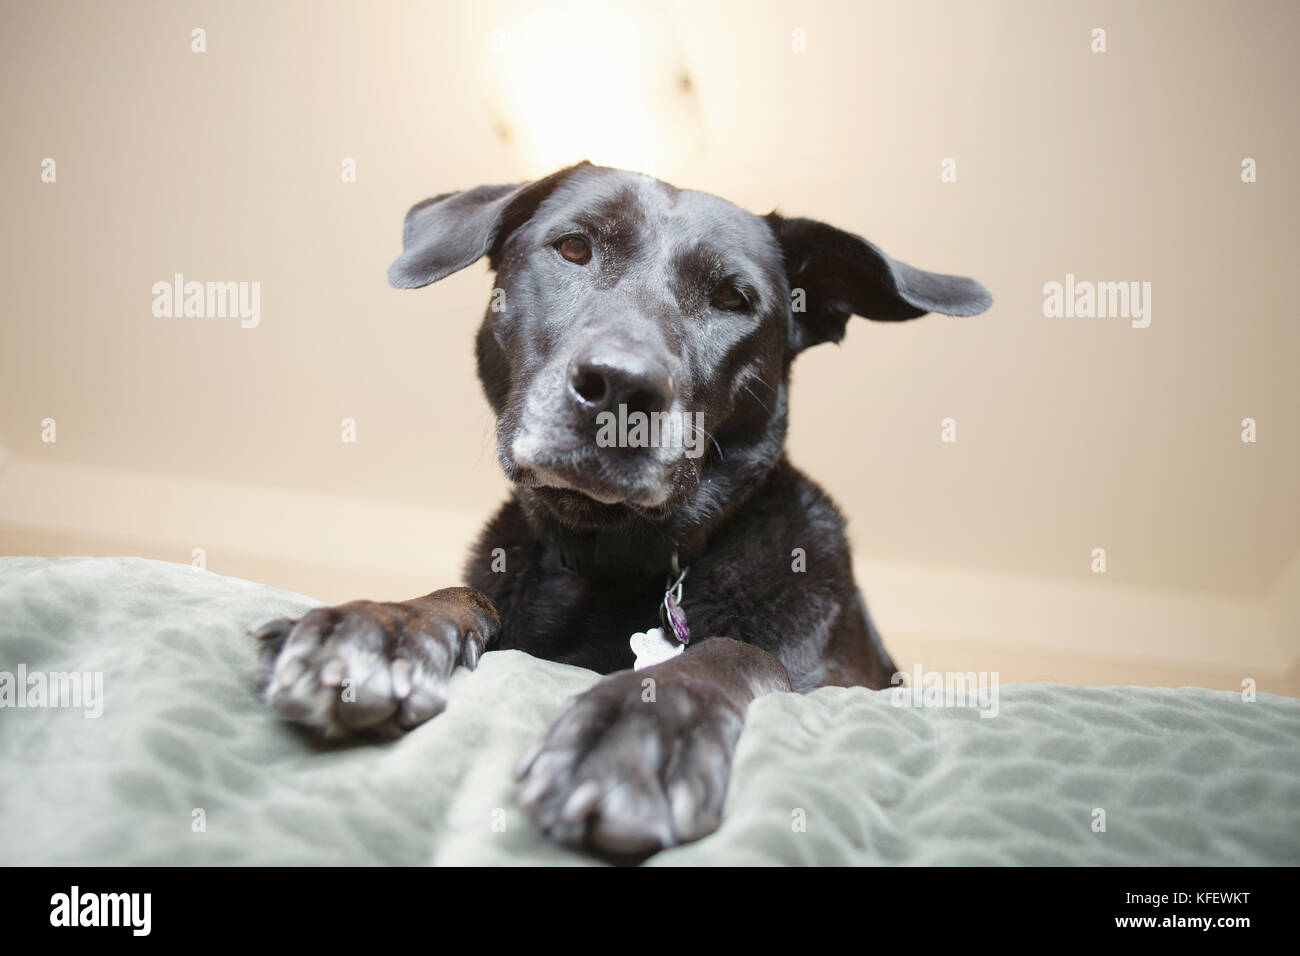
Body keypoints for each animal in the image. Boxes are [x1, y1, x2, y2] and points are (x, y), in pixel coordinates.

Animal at [248, 160, 987, 858]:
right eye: (573, 248)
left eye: (733, 298)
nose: (622, 388)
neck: (612, 561)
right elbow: (464, 594)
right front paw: (380, 626)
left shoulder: (845, 683)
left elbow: (735, 652)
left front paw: (643, 725)